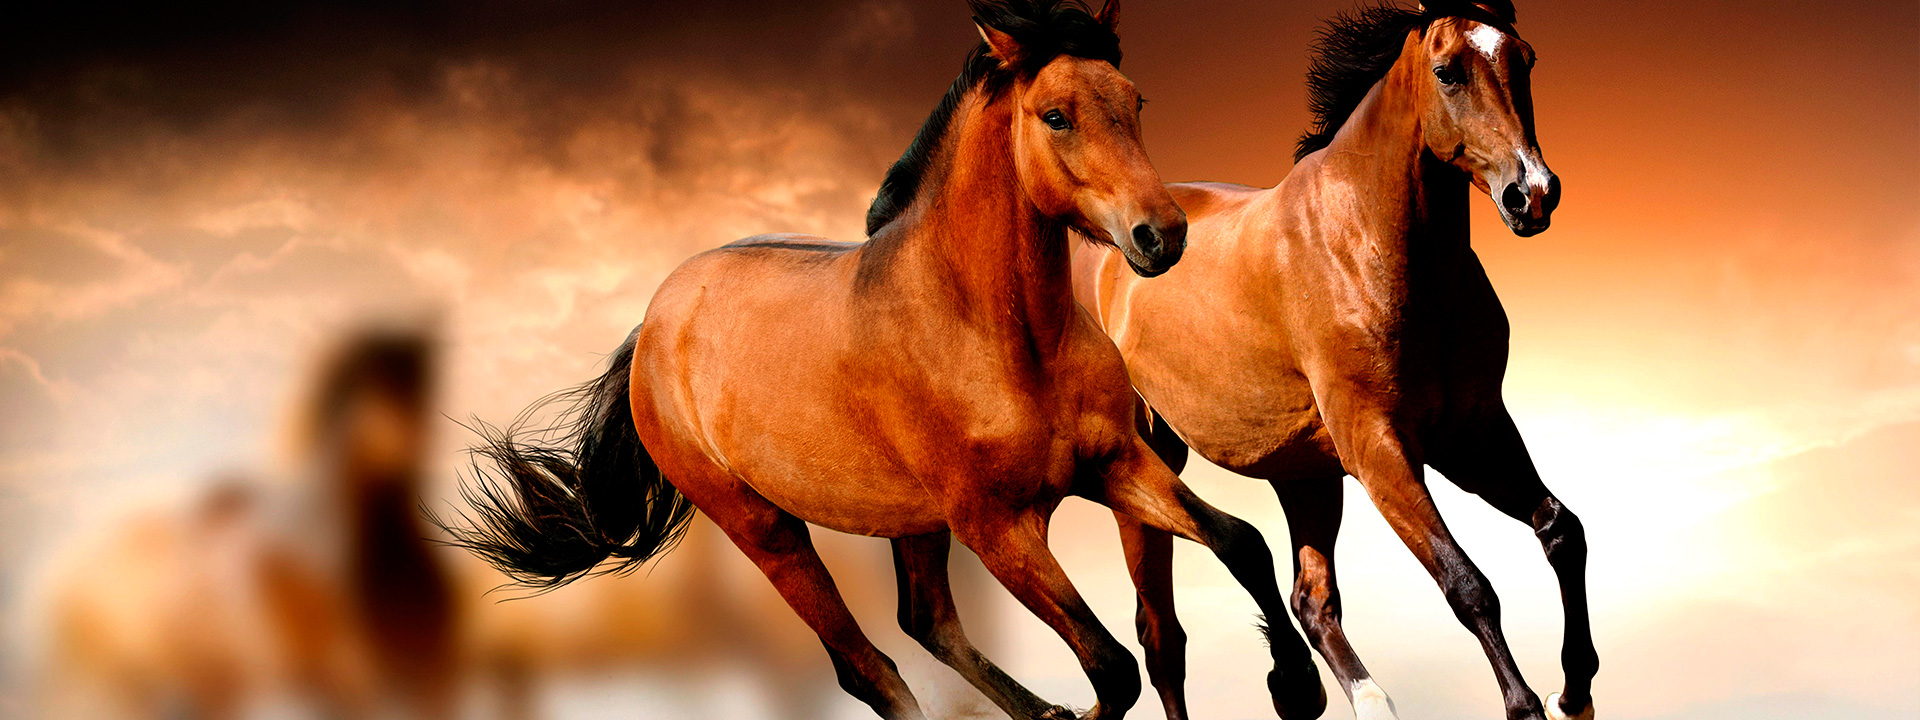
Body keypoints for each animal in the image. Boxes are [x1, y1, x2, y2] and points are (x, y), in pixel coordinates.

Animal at [435, 1, 1326, 719]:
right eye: (1056, 115)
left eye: (1135, 101)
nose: (1161, 236)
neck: (999, 336)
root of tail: (653, 328)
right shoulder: (998, 527)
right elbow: (1111, 670)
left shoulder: (1115, 464)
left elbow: (1242, 544)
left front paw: (1297, 688)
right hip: (766, 529)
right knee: (868, 667)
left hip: (911, 522)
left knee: (925, 620)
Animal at [1071, 2, 1592, 719]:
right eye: (1447, 71)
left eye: (1526, 58)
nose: (1532, 193)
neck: (1367, 245)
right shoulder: (1379, 451)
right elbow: (1467, 584)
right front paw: (1526, 705)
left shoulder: (1473, 433)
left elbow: (1562, 530)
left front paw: (1576, 689)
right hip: (1146, 465)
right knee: (1161, 637)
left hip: (1305, 474)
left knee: (1310, 601)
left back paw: (1354, 698)